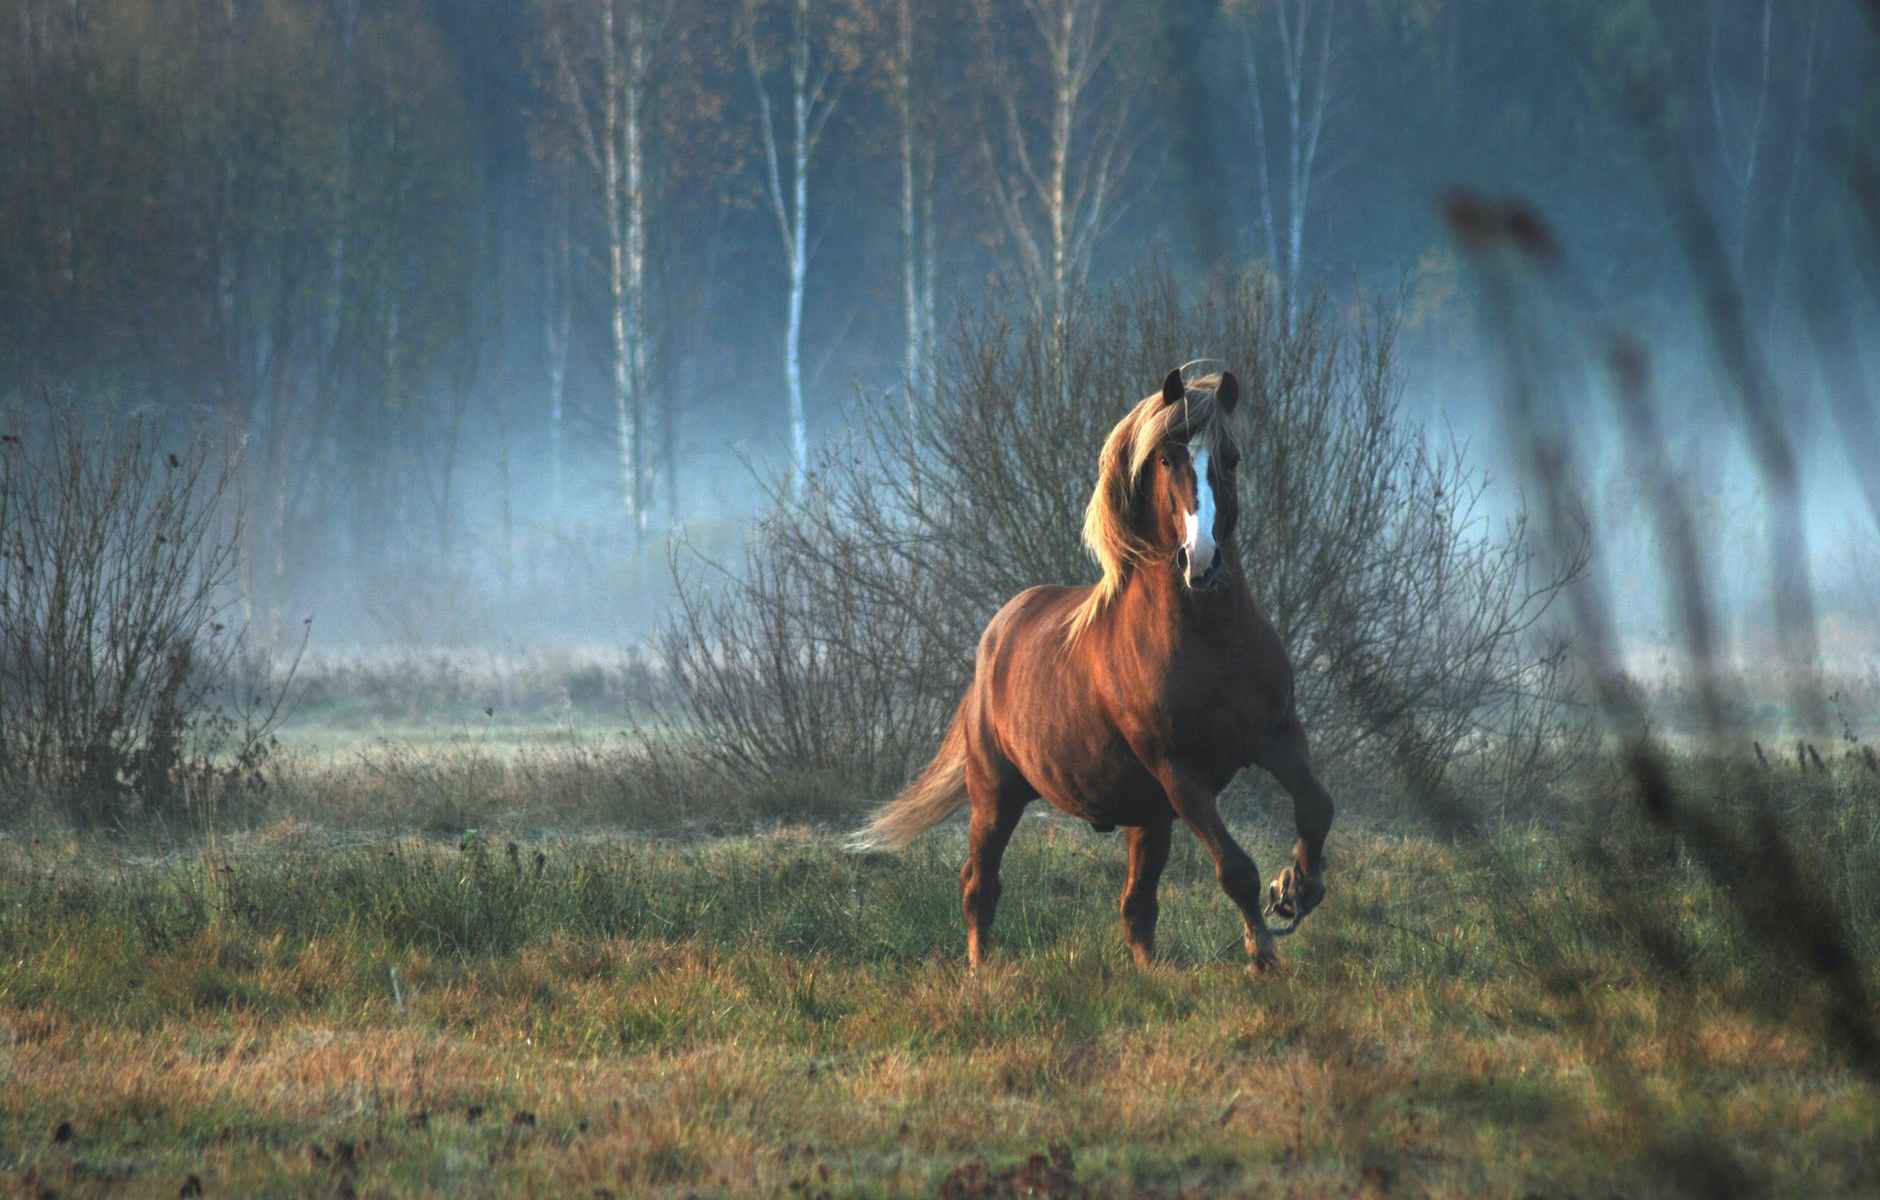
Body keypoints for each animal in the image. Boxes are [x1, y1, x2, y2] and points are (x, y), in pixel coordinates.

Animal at [849, 368, 1333, 972]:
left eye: (1232, 458)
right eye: (1167, 459)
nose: (1201, 561)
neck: (1211, 639)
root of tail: (996, 637)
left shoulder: (1276, 735)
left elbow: (1317, 808)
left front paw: (1296, 890)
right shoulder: (1180, 771)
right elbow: (1235, 869)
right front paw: (1263, 952)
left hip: (1147, 815)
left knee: (1136, 905)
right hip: (996, 793)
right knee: (979, 885)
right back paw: (982, 972)